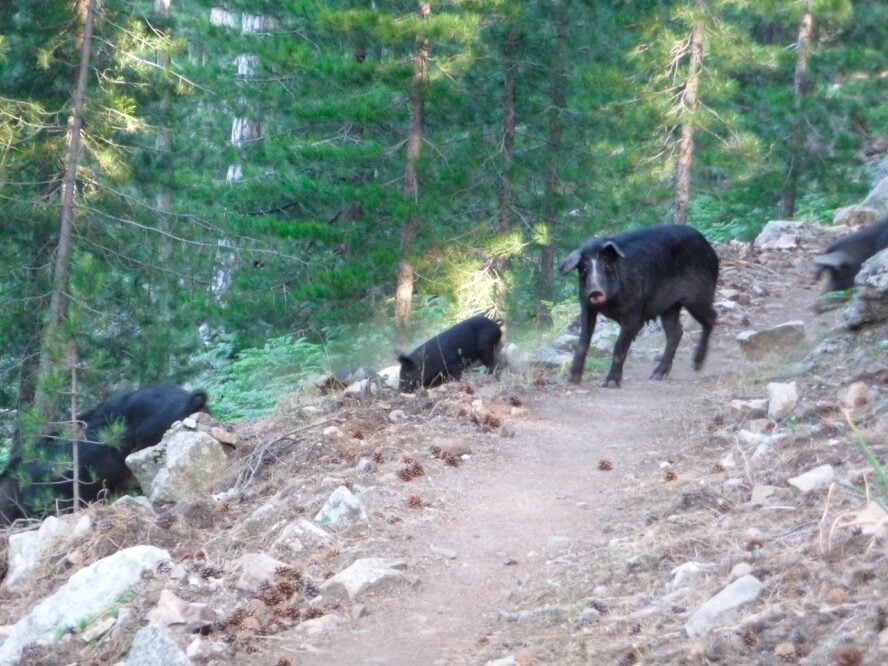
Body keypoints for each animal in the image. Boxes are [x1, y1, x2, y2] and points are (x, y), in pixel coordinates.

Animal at [560, 224, 720, 386]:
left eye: (607, 265)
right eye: (584, 268)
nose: (595, 291)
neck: (608, 305)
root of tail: (709, 247)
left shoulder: (634, 313)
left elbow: (619, 347)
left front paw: (610, 384)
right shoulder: (586, 306)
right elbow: (583, 340)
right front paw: (573, 379)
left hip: (698, 296)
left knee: (711, 317)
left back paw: (697, 365)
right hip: (668, 306)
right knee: (676, 332)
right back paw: (656, 375)